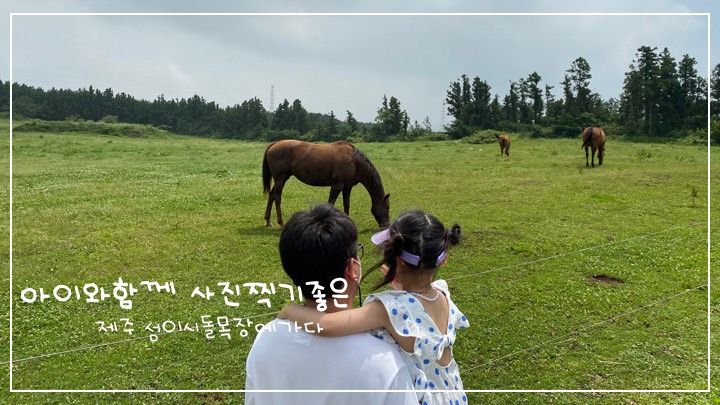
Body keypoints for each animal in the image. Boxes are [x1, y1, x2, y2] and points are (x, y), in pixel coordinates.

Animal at [262, 139, 390, 227]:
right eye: (387, 207)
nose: (386, 225)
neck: (353, 161)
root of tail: (274, 144)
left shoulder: (347, 187)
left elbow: (346, 204)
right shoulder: (337, 185)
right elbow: (330, 203)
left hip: (280, 179)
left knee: (271, 195)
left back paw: (268, 221)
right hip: (281, 178)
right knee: (277, 197)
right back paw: (281, 223)